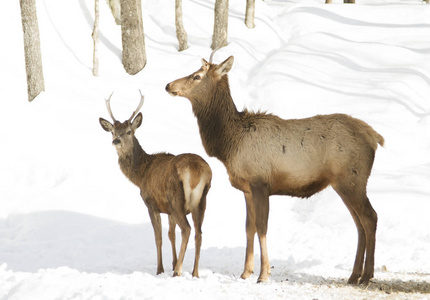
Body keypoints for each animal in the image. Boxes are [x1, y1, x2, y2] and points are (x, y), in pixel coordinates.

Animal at [98, 90, 212, 278]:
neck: (141, 175)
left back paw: (179, 271)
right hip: (202, 200)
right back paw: (195, 273)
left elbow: (158, 237)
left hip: (176, 199)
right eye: (113, 131)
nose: (116, 141)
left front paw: (161, 269)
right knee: (199, 232)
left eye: (129, 131)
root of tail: (196, 170)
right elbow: (171, 234)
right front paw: (173, 263)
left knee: (187, 229)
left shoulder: (152, 204)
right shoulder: (168, 210)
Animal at [166, 54, 384, 286]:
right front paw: (245, 272)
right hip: (344, 184)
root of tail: (374, 137)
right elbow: (249, 227)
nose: (168, 85)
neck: (229, 143)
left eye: (196, 76)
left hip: (352, 180)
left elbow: (262, 227)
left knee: (370, 217)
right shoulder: (247, 189)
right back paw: (354, 275)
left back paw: (367, 275)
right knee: (359, 223)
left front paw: (263, 274)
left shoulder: (260, 182)